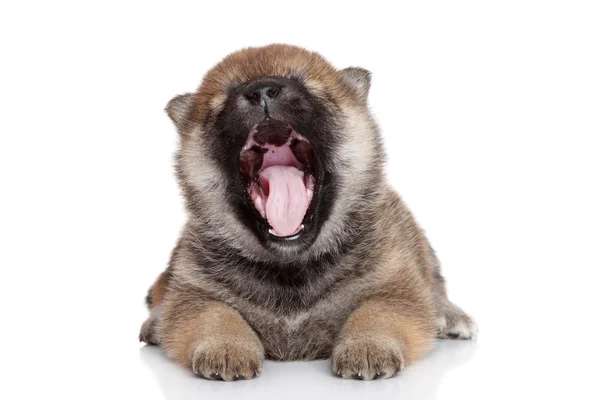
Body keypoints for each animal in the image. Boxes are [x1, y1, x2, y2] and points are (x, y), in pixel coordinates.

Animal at [141, 44, 478, 382]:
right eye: (223, 98)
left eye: (305, 83)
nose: (262, 90)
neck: (292, 268)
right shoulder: (195, 294)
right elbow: (215, 313)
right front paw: (225, 347)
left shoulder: (395, 287)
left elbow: (376, 312)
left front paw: (368, 346)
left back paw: (450, 316)